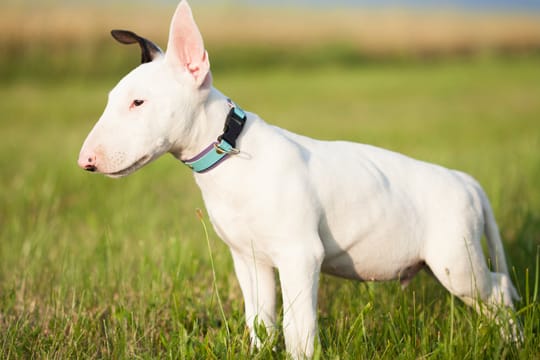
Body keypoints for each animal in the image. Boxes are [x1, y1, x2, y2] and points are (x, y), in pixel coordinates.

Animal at [79, 2, 520, 358]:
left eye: (139, 102)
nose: (85, 161)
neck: (232, 155)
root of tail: (465, 181)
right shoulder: (249, 260)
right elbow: (260, 322)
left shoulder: (300, 256)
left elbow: (299, 330)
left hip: (456, 262)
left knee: (498, 290)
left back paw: (512, 343)